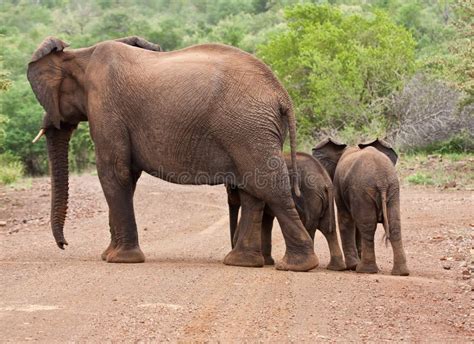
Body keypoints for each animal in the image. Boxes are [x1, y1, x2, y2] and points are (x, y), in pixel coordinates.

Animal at [26, 35, 318, 272]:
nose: (64, 244)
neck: (80, 55)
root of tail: (282, 94)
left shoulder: (106, 106)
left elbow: (114, 172)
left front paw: (119, 260)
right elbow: (127, 176)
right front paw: (108, 255)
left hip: (247, 128)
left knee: (270, 188)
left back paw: (297, 266)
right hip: (250, 130)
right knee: (252, 191)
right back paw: (241, 262)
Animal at [312, 138, 410, 276]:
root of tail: (381, 181)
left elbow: (346, 220)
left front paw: (352, 266)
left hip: (363, 189)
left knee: (367, 226)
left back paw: (364, 270)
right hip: (392, 189)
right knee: (393, 225)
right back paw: (401, 273)